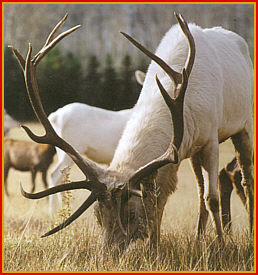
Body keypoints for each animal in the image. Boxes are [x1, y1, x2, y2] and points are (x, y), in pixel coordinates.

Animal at [11, 11, 253, 250]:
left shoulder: (210, 139)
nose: (107, 255)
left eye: (131, 215)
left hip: (245, 124)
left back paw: (247, 233)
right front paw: (155, 246)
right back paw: (197, 237)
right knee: (201, 188)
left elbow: (211, 197)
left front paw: (221, 245)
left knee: (243, 178)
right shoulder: (180, 153)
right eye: (97, 215)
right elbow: (161, 199)